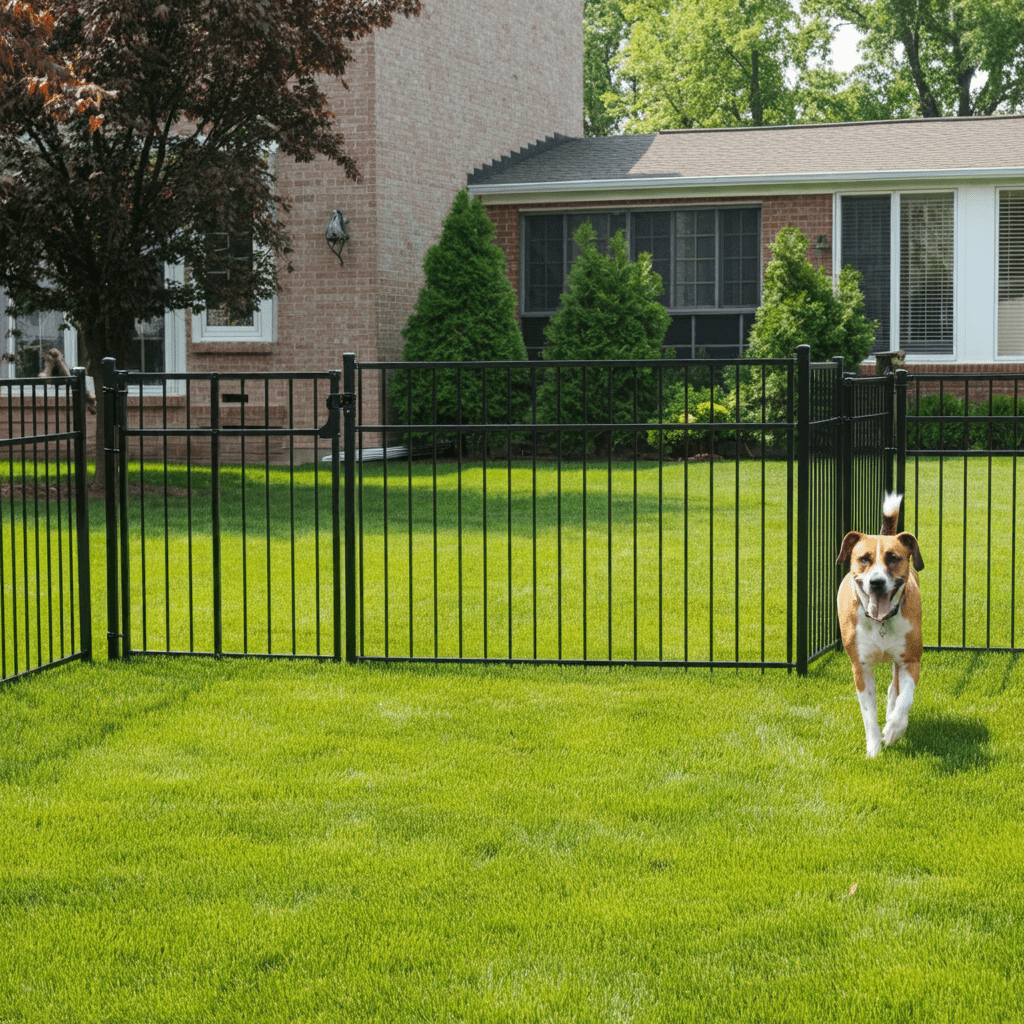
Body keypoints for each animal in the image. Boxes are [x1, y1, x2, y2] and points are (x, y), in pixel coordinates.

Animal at [835, 491, 925, 757]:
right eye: (863, 559)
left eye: (893, 558)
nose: (876, 582)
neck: (881, 622)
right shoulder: (861, 668)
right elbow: (868, 715)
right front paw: (874, 749)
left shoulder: (910, 660)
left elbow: (905, 699)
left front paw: (893, 730)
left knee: (894, 690)